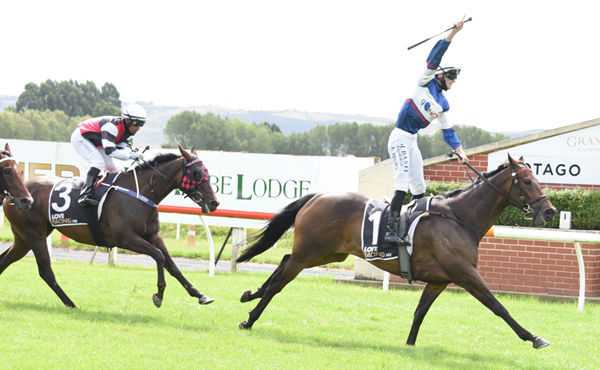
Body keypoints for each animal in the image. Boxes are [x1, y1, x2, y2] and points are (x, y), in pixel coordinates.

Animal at [2, 146, 218, 308]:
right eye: (197, 173)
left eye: (207, 172)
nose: (214, 202)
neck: (141, 192)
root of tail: (14, 194)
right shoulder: (125, 238)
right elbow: (158, 256)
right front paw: (159, 295)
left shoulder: (153, 235)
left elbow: (172, 265)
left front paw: (200, 294)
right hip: (34, 234)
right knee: (46, 271)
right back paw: (70, 303)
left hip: (24, 238)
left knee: (5, 259)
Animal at [238, 155, 556, 348]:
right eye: (528, 181)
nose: (550, 211)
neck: (459, 217)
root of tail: (318, 196)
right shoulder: (464, 273)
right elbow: (497, 305)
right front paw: (533, 337)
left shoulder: (439, 280)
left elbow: (419, 312)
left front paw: (410, 345)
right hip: (311, 251)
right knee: (279, 281)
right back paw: (249, 319)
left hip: (328, 253)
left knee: (283, 261)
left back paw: (249, 293)